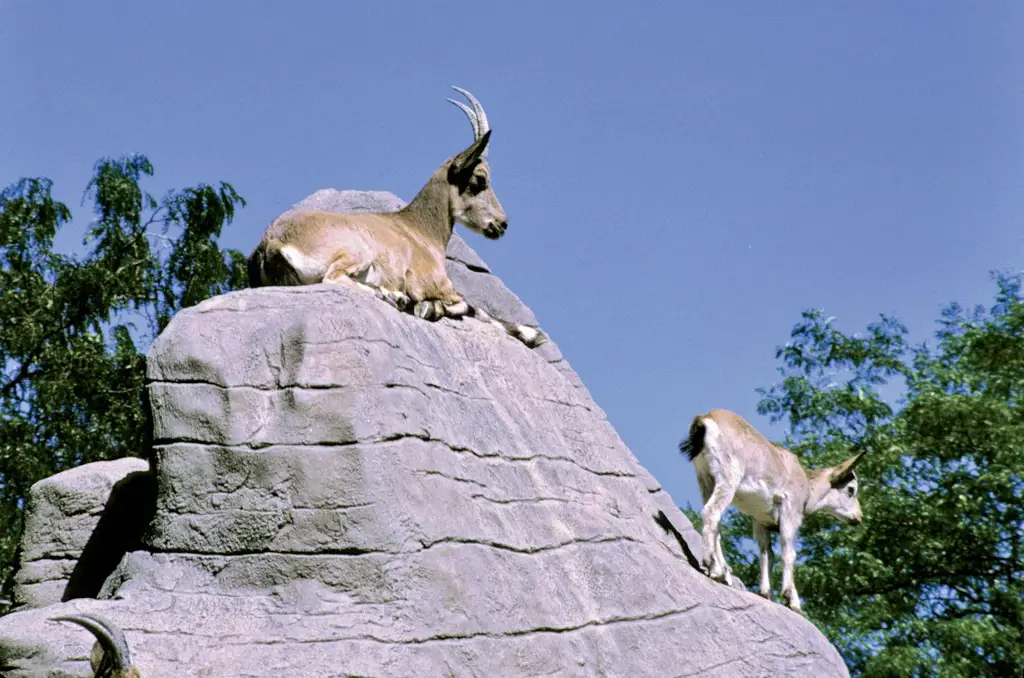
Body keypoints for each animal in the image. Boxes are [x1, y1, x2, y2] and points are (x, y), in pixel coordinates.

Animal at [248, 86, 548, 350]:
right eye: (479, 180)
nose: (501, 224)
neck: (419, 231)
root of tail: (272, 242)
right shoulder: (434, 282)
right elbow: (471, 306)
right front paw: (531, 334)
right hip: (360, 251)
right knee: (332, 278)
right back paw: (394, 297)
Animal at [679, 409, 864, 614]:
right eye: (851, 489)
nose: (858, 517)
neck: (806, 486)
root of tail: (706, 419)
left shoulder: (760, 522)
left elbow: (767, 553)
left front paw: (766, 593)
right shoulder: (789, 513)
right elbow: (789, 553)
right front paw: (792, 600)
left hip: (706, 481)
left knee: (715, 523)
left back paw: (723, 572)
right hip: (728, 480)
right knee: (711, 512)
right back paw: (715, 568)